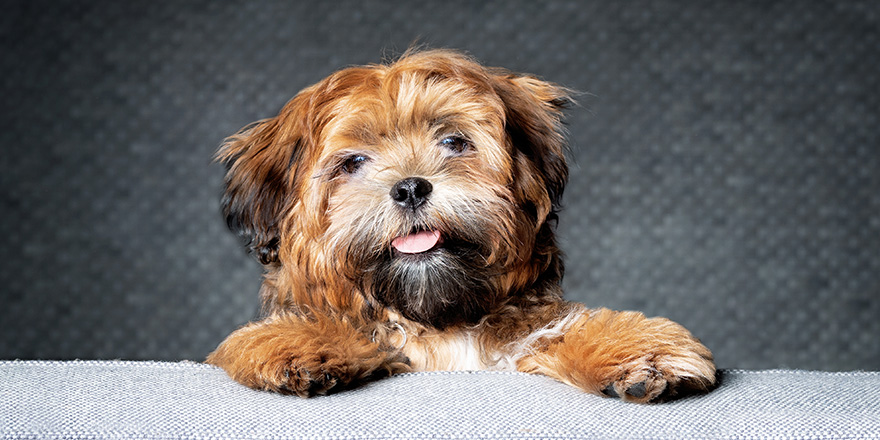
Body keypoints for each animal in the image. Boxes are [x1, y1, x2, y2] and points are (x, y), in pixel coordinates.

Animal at [206, 49, 716, 402]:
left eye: (453, 141)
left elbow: (557, 329)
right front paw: (297, 343)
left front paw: (640, 352)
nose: (411, 188)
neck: (438, 323)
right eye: (352, 162)